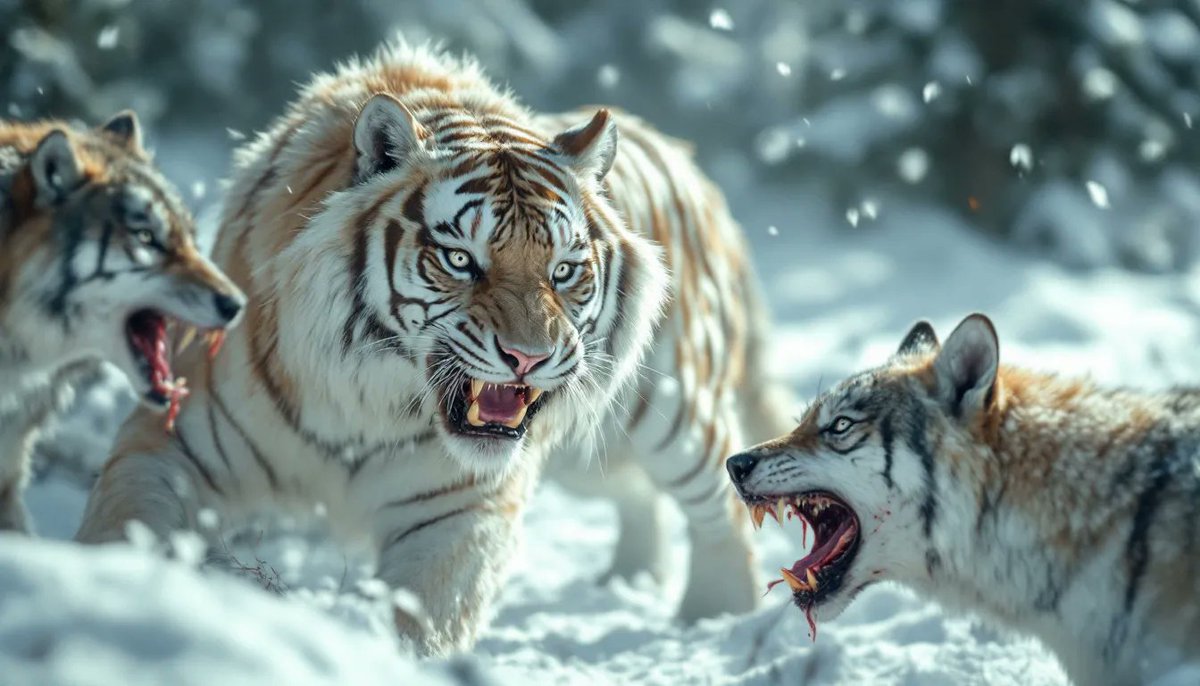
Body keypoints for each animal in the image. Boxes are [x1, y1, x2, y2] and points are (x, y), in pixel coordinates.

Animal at [75, 39, 792, 653]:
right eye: (459, 259)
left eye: (563, 270)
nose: (529, 358)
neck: (361, 400)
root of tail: (680, 155)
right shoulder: (168, 440)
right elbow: (123, 524)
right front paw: (98, 591)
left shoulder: (458, 507)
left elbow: (424, 618)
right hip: (592, 455)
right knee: (638, 495)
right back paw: (629, 579)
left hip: (670, 409)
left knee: (720, 495)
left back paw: (716, 614)